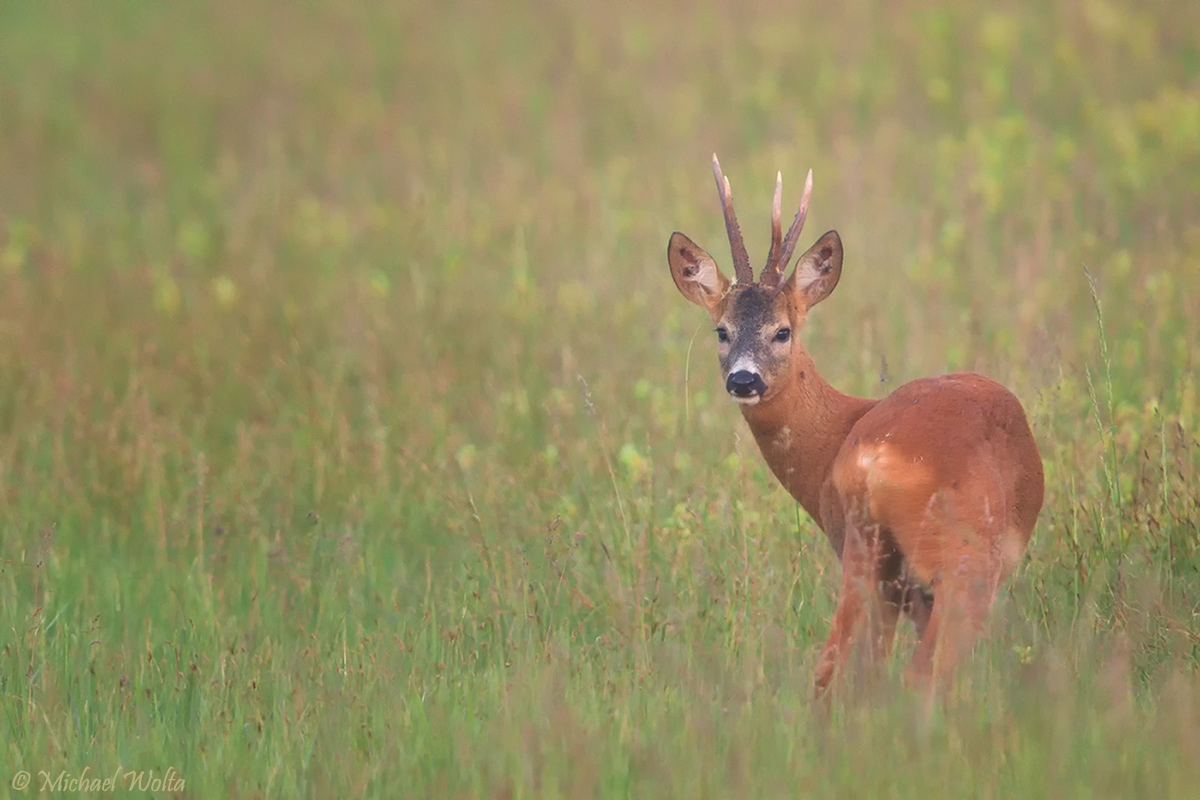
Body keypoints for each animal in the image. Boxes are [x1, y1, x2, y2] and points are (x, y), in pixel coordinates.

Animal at [672, 154, 1046, 695]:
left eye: (782, 331)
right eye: (722, 330)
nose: (743, 379)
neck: (838, 432)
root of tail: (874, 459)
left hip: (867, 553)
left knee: (833, 670)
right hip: (962, 556)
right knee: (924, 673)